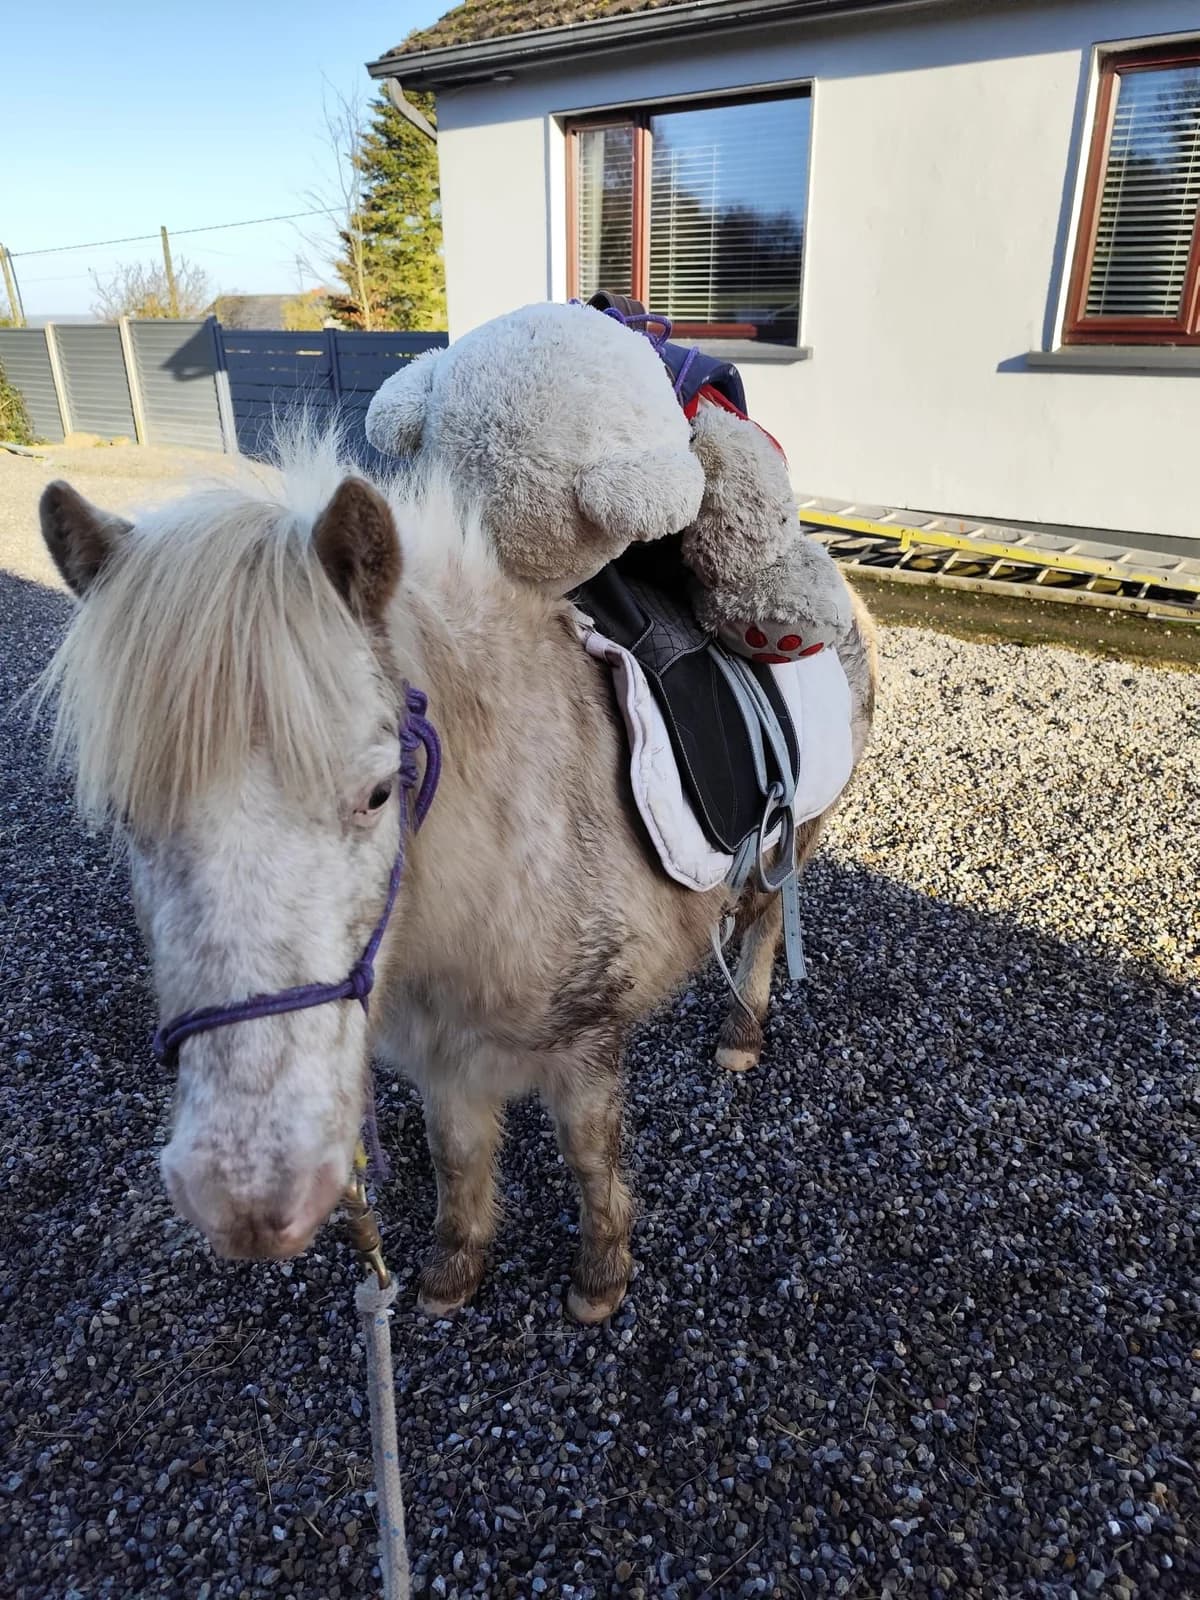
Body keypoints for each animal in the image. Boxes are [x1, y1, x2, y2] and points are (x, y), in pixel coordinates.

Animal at [37, 437, 878, 1323]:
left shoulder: (586, 1046)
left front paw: (600, 1273)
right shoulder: (440, 1052)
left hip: (795, 838)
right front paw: (454, 1268)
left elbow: (589, 1155)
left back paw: (741, 1029)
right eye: (122, 812)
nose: (246, 1199)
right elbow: (458, 1153)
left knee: (766, 924)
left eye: (379, 792)